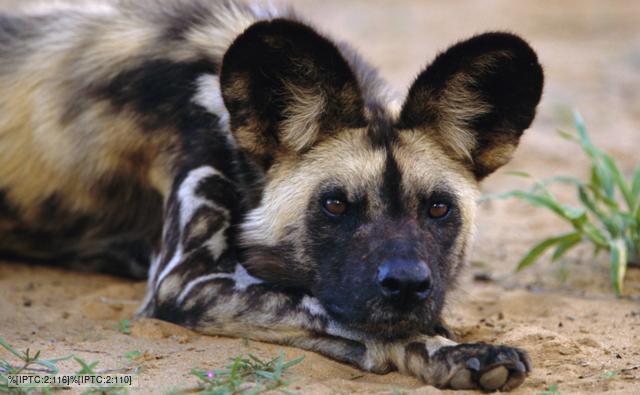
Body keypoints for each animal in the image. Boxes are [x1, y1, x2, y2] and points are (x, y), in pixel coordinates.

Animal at [0, 0, 544, 390]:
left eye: (437, 208)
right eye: (335, 205)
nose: (407, 284)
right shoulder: (186, 281)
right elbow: (339, 313)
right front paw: (451, 352)